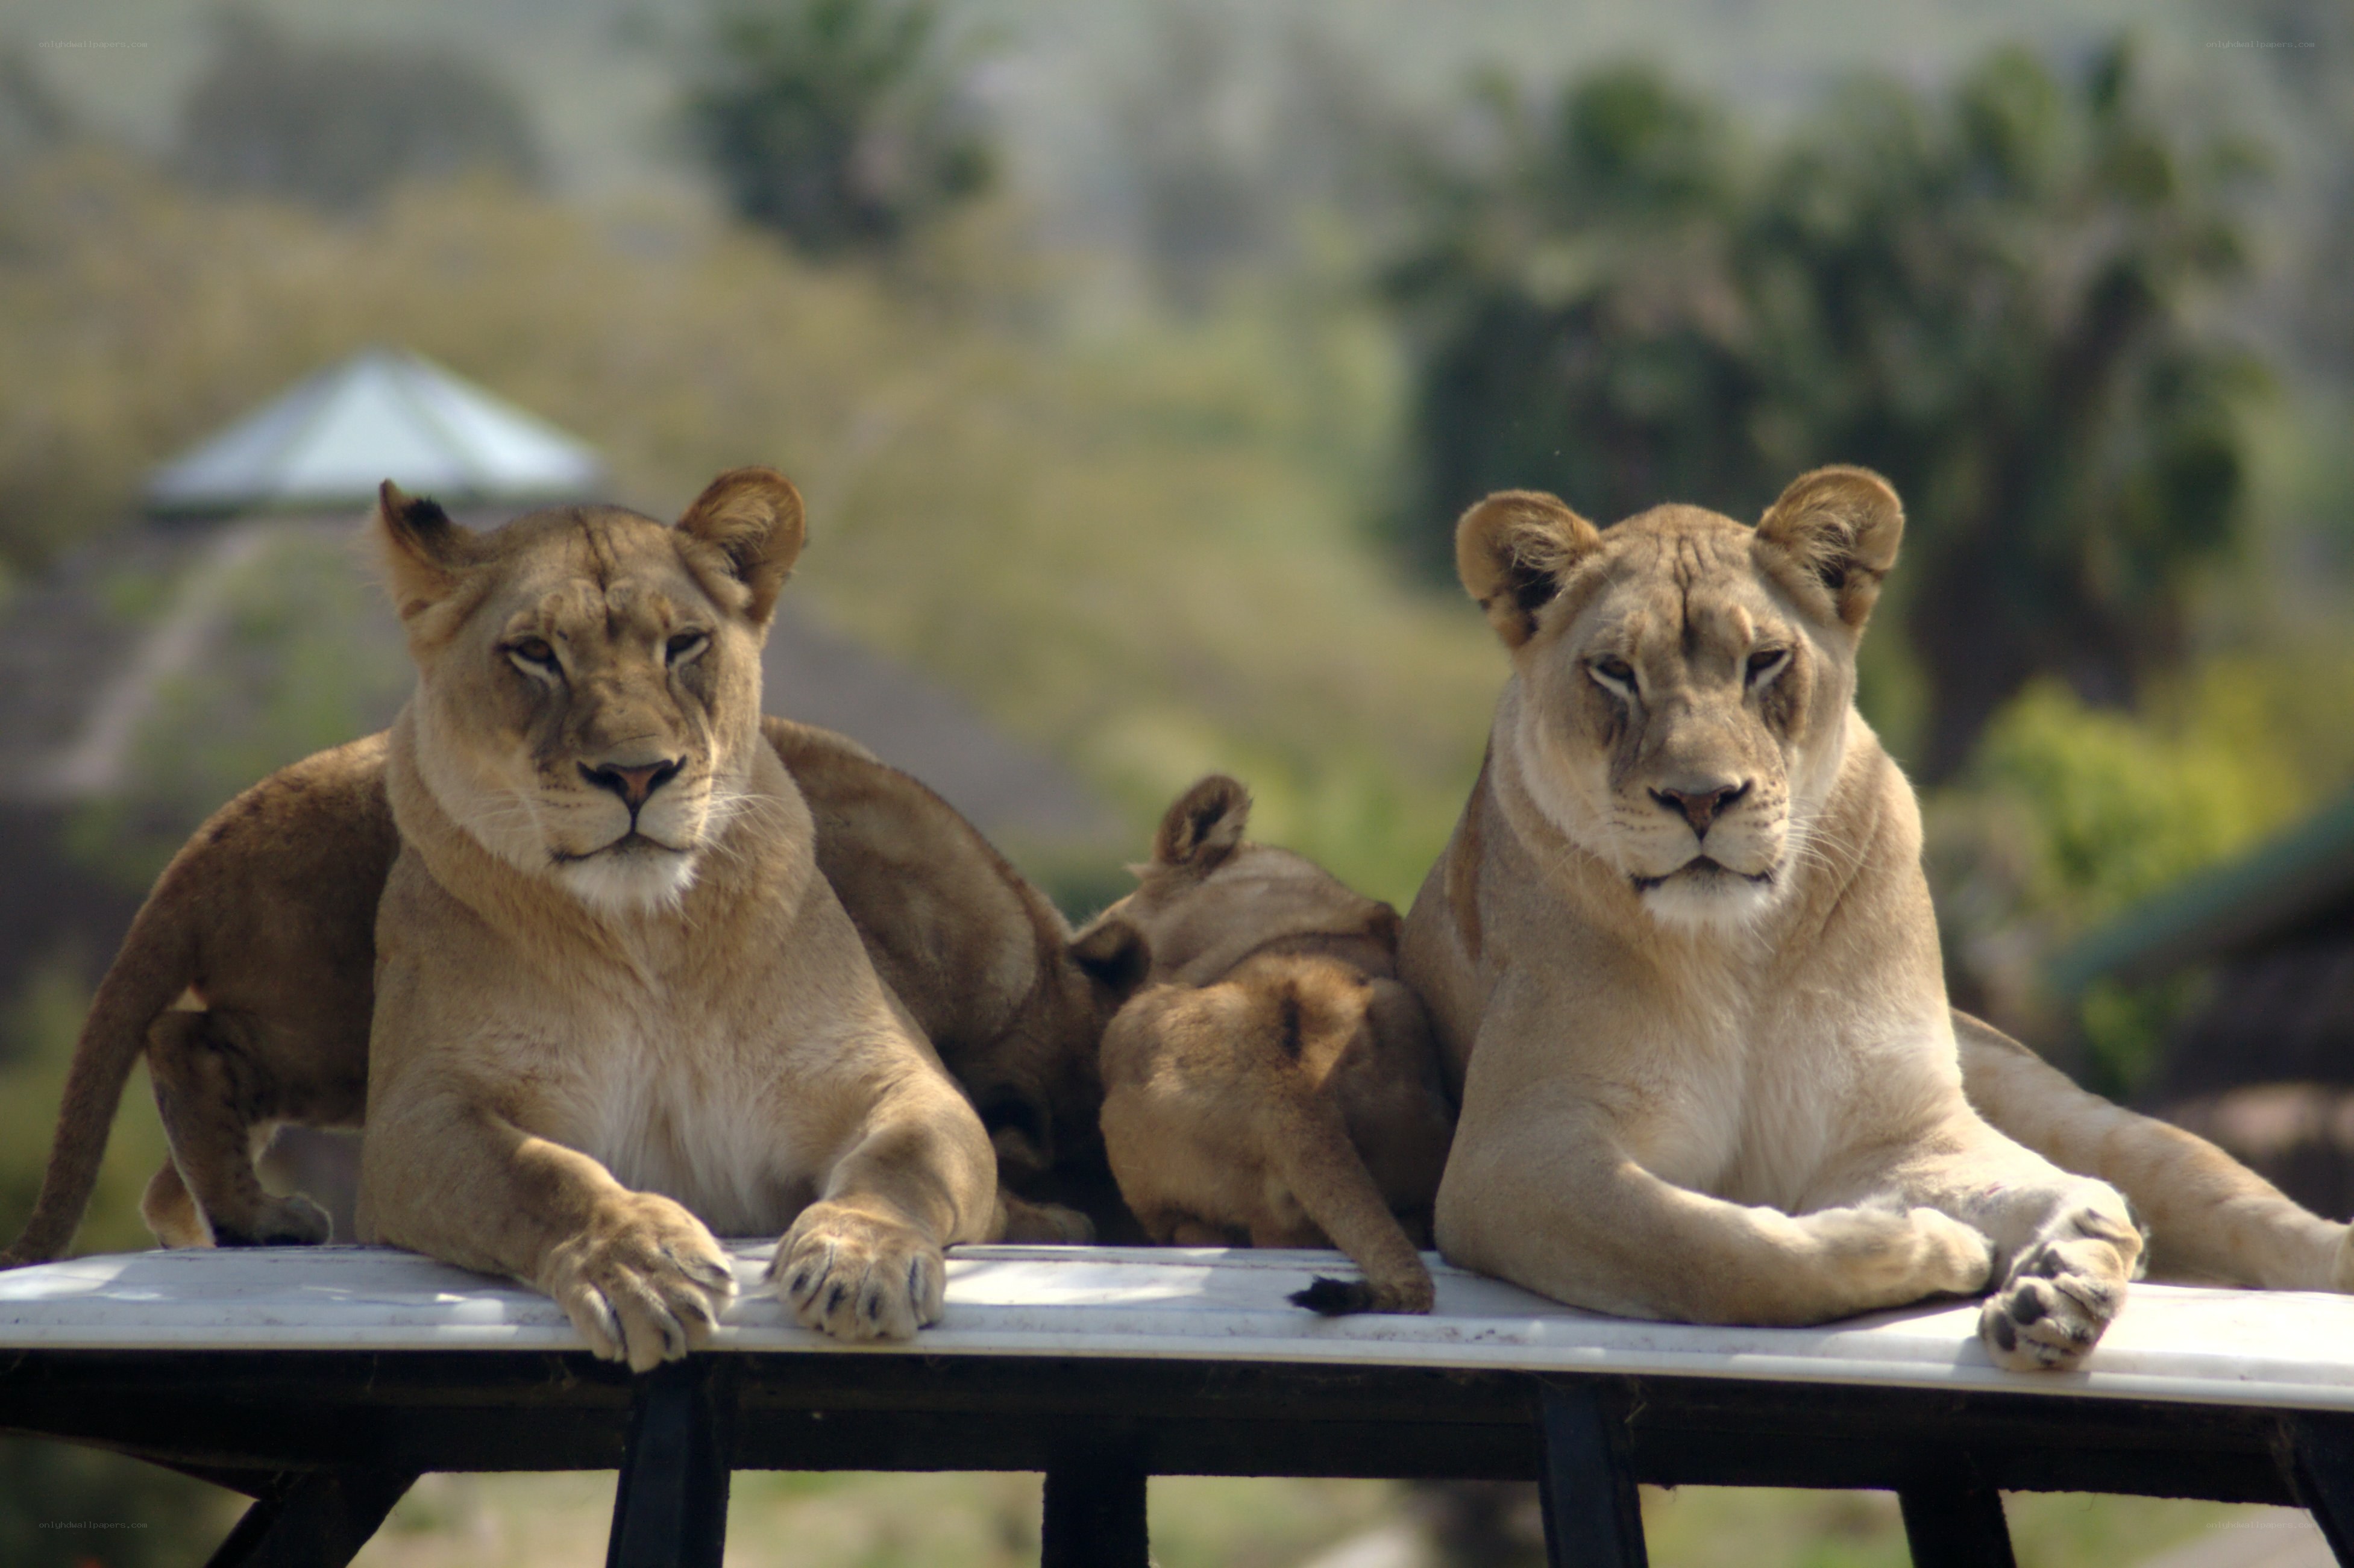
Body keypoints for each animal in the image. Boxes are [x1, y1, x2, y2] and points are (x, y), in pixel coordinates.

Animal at [1397, 466, 2346, 1372]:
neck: (1736, 949)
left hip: (2084, 1115)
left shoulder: (1896, 1130)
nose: (1701, 799)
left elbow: (2011, 1185)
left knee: (2223, 1195)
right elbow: (1707, 1247)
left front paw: (2064, 1264)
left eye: (1764, 661)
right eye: (1614, 671)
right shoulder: (1512, 1154)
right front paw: (1931, 1245)